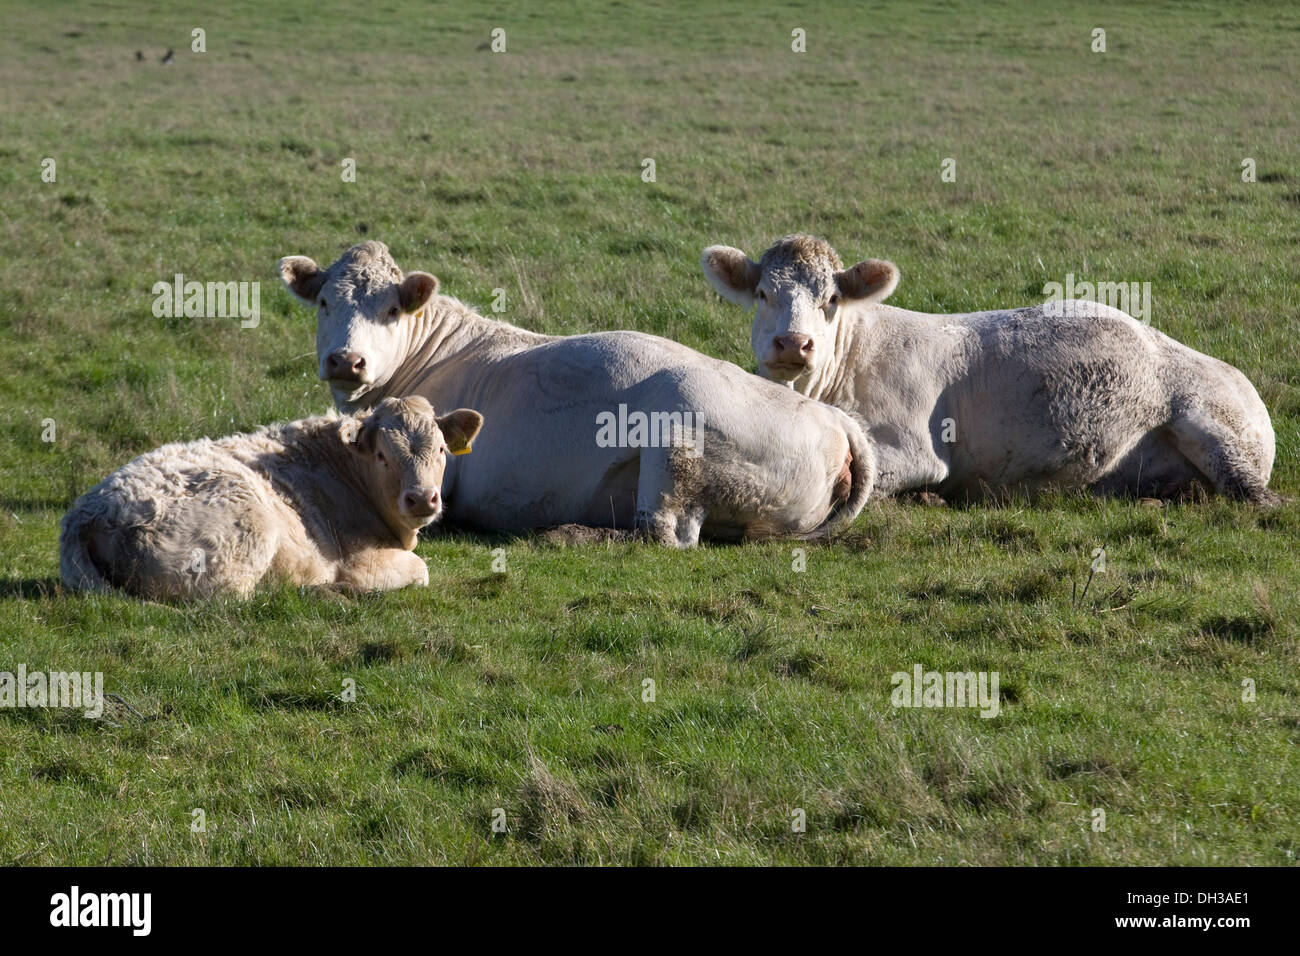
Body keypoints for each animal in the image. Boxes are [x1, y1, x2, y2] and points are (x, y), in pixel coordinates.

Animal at [61, 395, 483, 598]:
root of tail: (88, 512)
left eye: (442, 450)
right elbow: (420, 570)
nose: (422, 499)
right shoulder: (362, 559)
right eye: (383, 456)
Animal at [274, 239, 873, 546]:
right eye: (324, 302)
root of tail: (838, 421)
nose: (346, 360)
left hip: (675, 444)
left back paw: (565, 533)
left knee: (665, 533)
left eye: (393, 309)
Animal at [702, 234, 1279, 504]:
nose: (793, 343)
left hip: (1216, 428)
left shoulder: (915, 448)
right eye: (763, 293)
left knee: (1258, 499)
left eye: (831, 300)